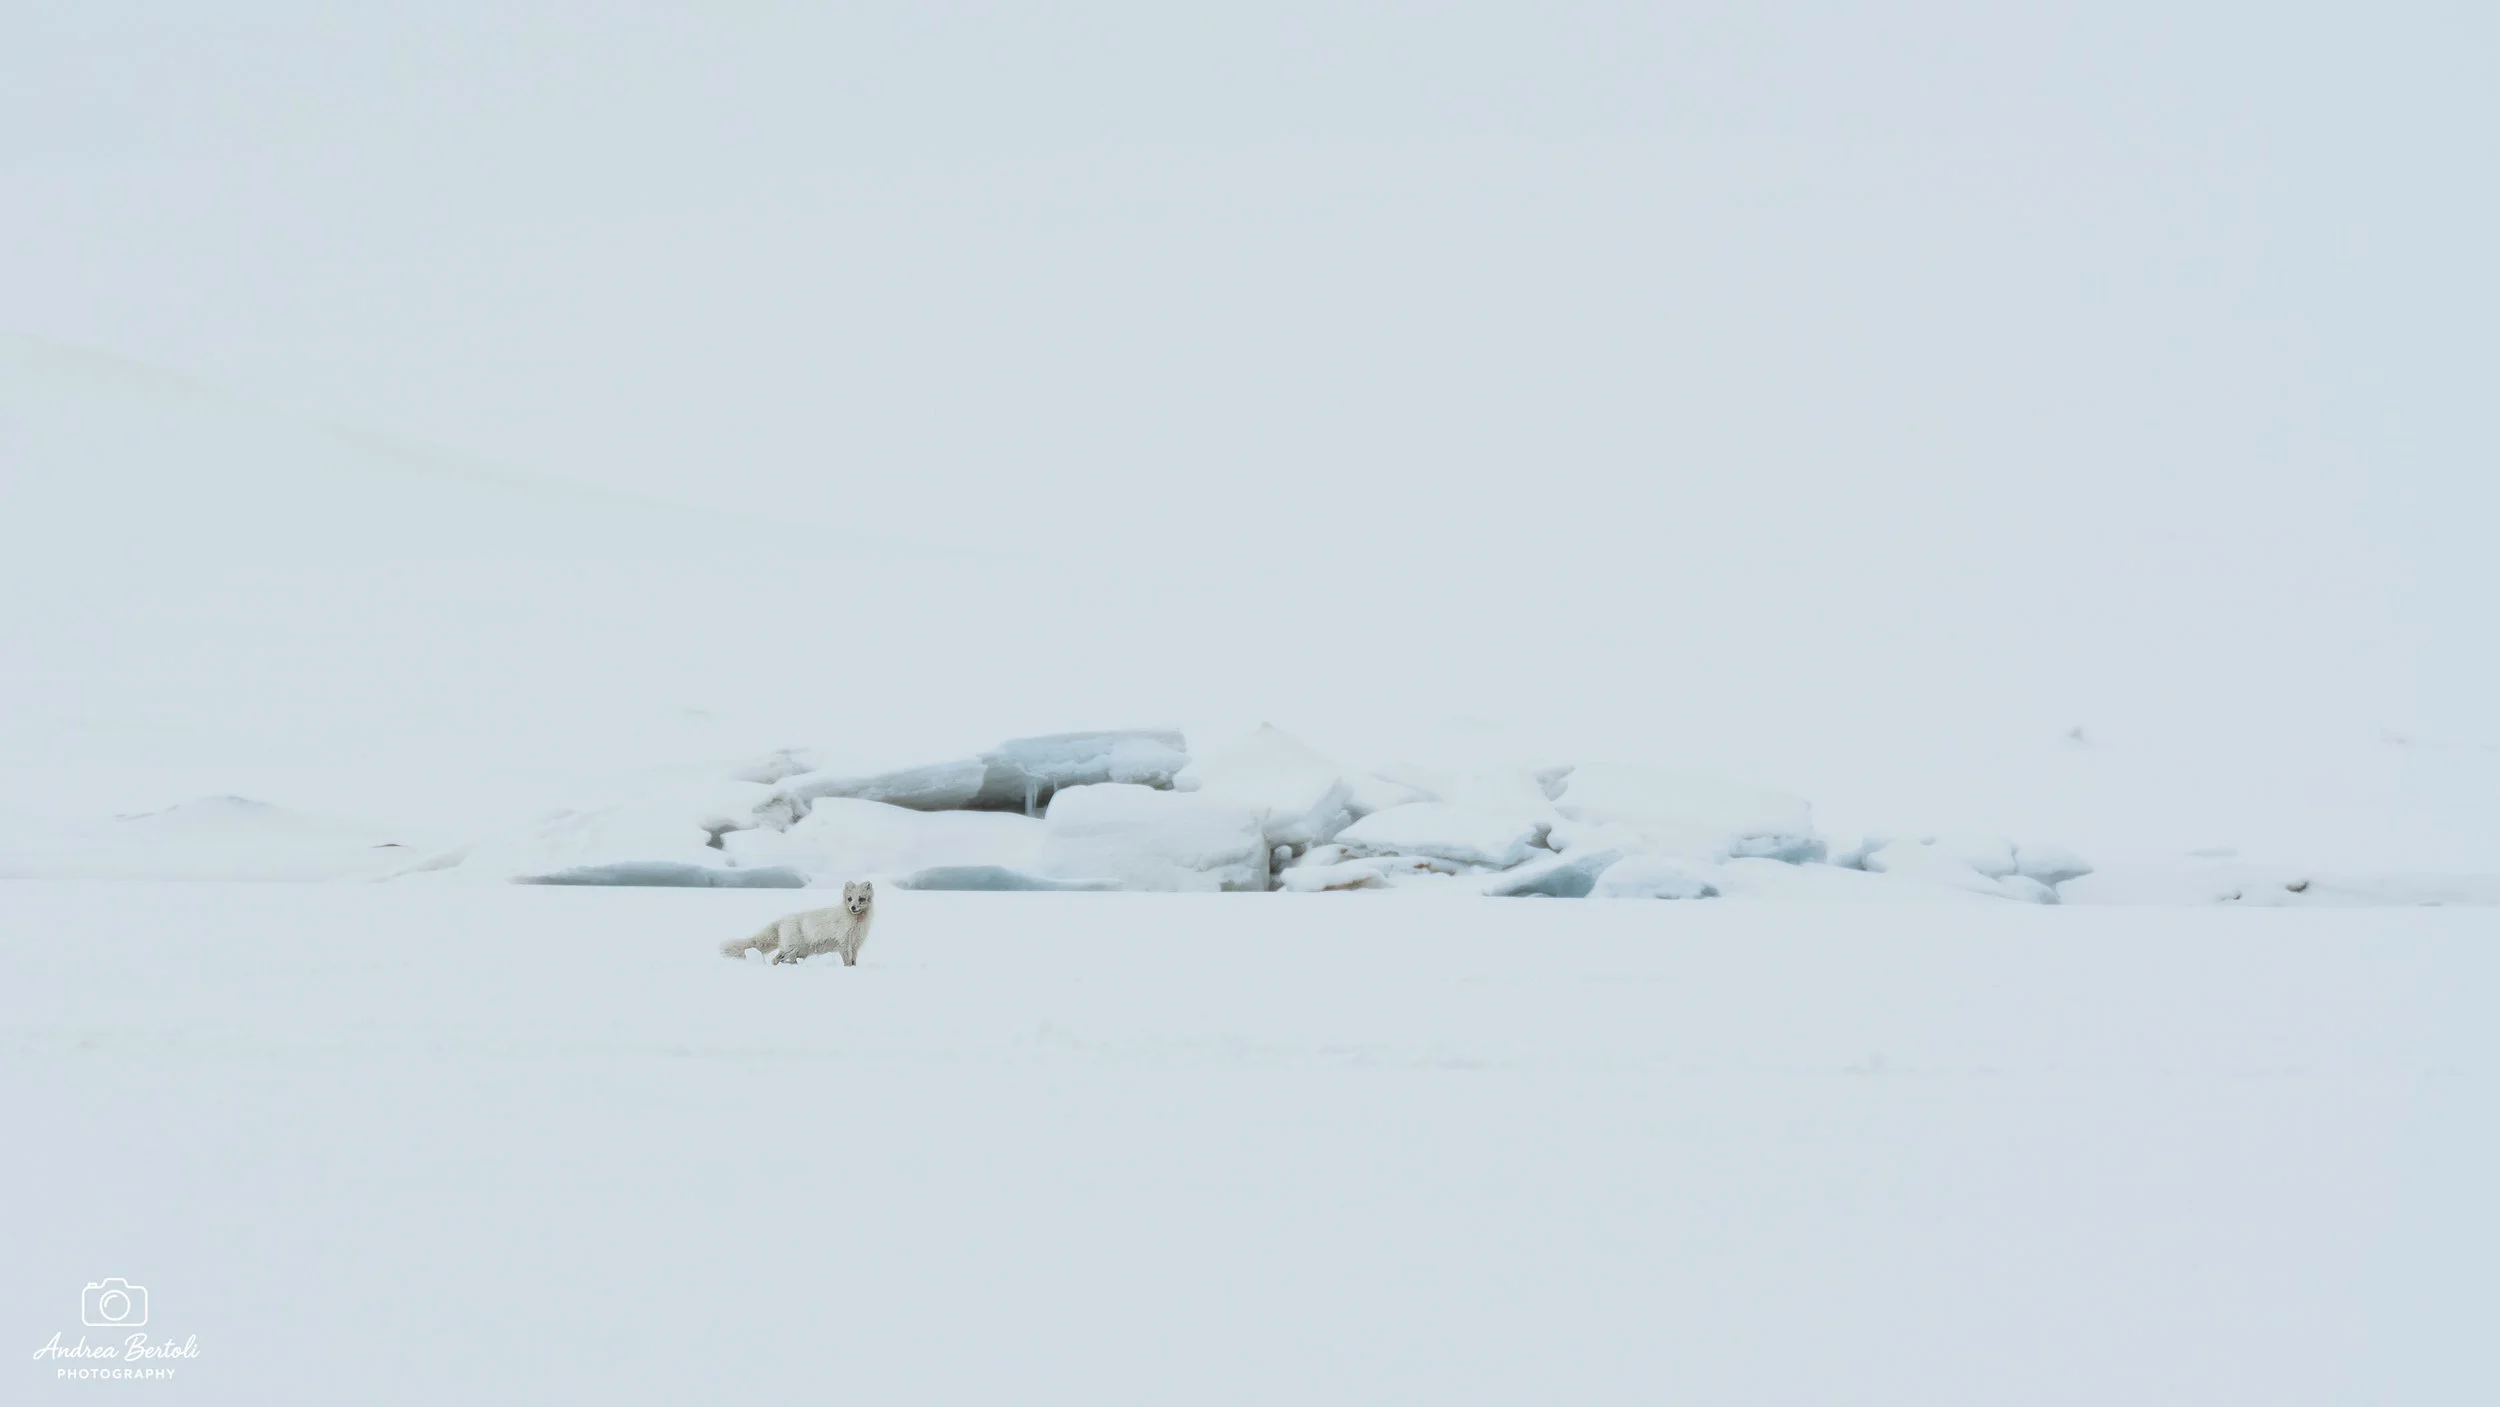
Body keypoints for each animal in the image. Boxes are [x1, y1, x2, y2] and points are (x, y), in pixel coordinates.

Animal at [722, 881, 875, 966]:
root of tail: (782, 920)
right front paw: (848, 969)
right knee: (775, 959)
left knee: (786, 959)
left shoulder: (855, 945)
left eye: (861, 899)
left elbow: (853, 961)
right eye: (849, 898)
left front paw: (854, 969)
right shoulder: (843, 942)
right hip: (791, 947)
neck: (856, 923)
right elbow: (847, 961)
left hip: (797, 950)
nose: (853, 908)